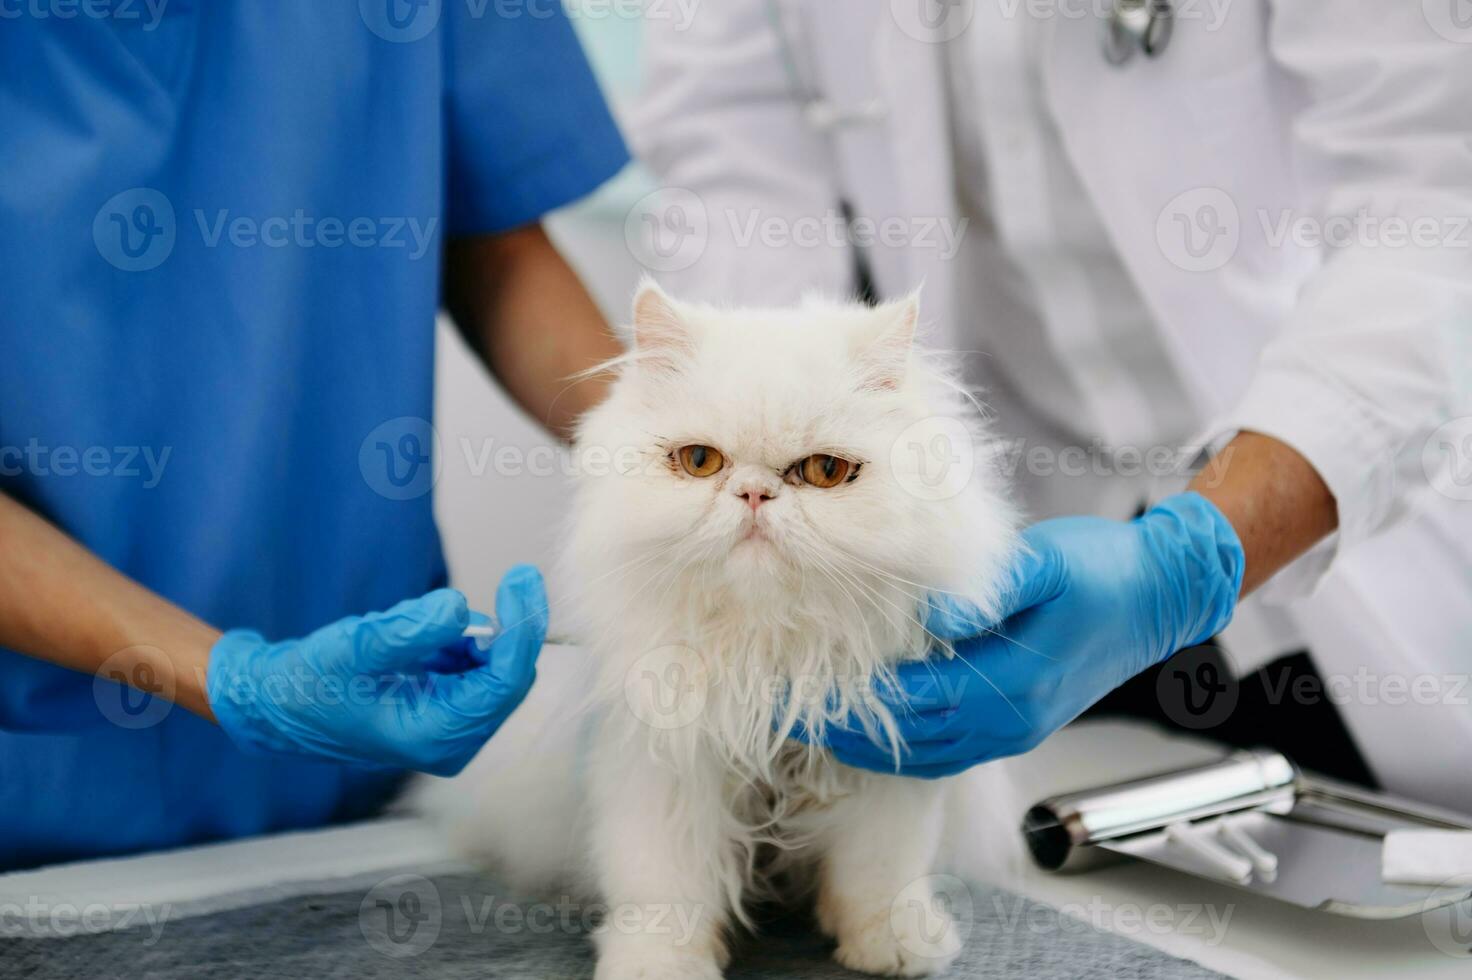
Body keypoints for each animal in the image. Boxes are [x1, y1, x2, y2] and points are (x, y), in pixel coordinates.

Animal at [409, 282, 1018, 977]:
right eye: (700, 462)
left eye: (825, 472)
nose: (753, 494)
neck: (768, 656)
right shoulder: (662, 767)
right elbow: (662, 886)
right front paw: (657, 964)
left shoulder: (885, 762)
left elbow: (880, 875)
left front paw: (892, 946)